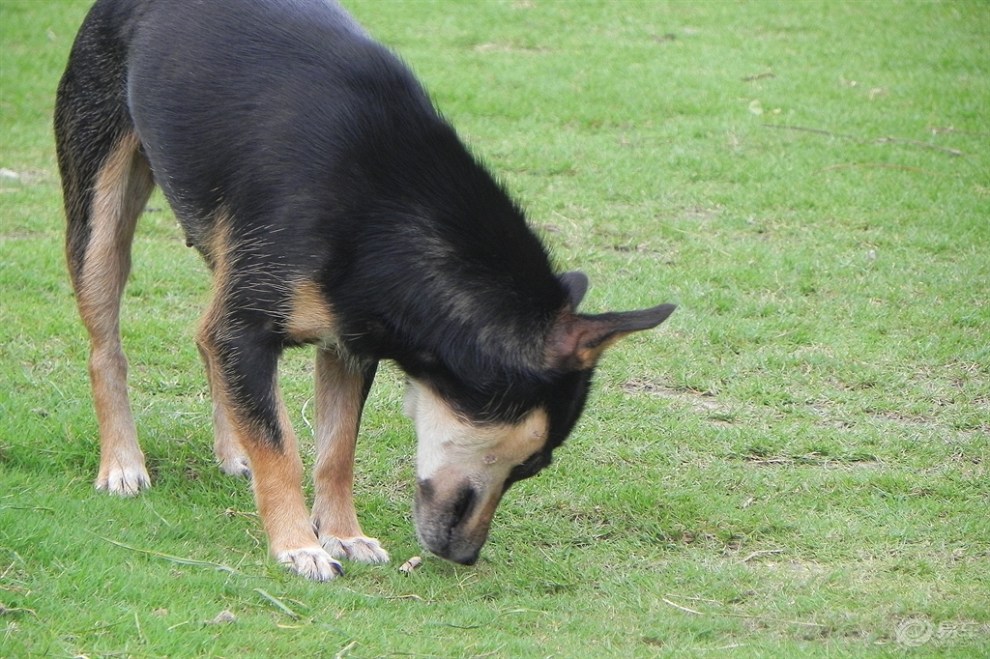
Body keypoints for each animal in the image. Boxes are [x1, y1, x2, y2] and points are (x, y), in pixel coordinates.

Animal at [54, 0, 676, 580]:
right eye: (533, 461)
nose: (467, 557)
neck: (386, 203)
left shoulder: (346, 343)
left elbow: (335, 450)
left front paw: (342, 533)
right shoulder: (248, 325)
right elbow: (281, 447)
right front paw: (296, 544)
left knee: (206, 345)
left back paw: (232, 450)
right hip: (99, 215)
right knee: (107, 350)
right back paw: (122, 462)